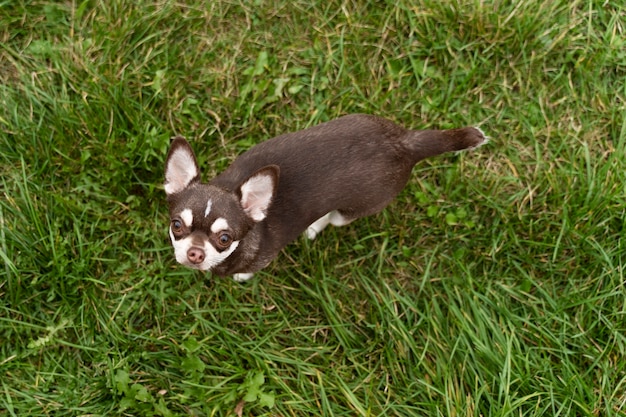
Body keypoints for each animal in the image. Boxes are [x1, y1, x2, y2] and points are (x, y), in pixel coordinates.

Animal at [162, 113, 482, 280]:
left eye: (225, 238)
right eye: (177, 225)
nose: (195, 252)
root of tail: (405, 143)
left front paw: (241, 276)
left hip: (354, 209)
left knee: (333, 218)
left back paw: (314, 228)